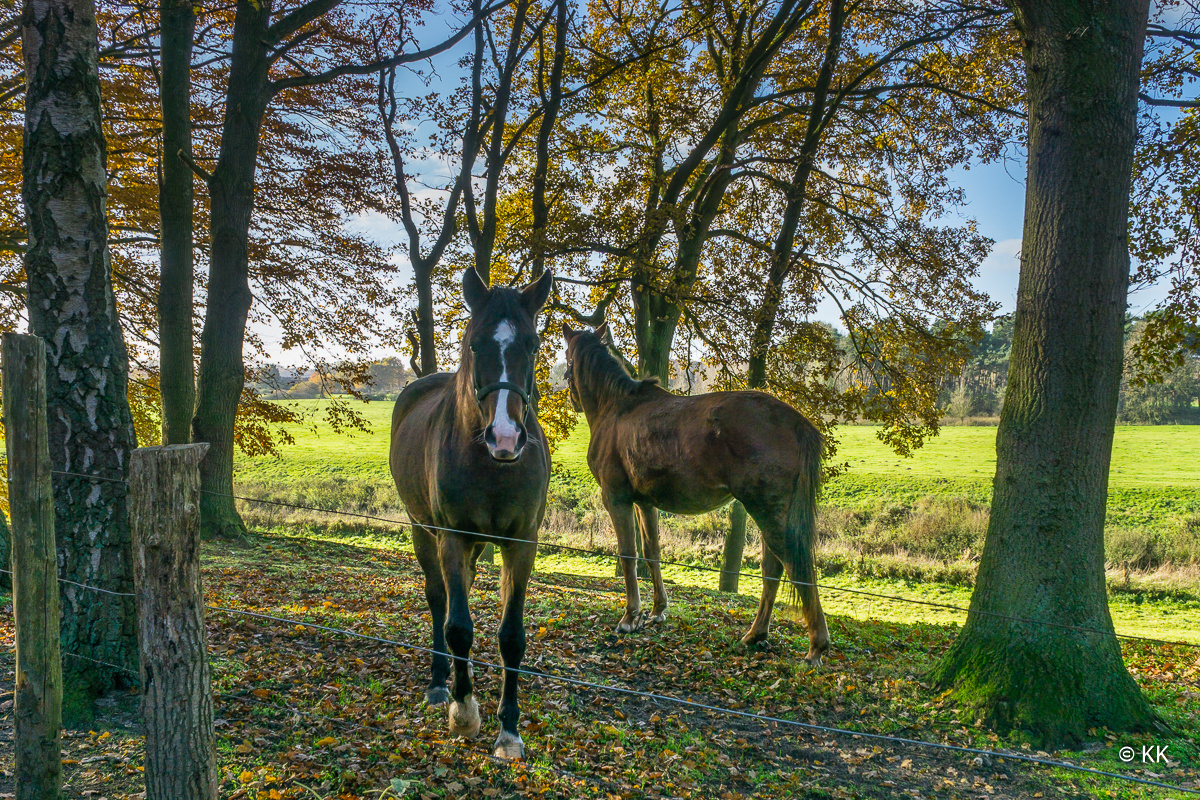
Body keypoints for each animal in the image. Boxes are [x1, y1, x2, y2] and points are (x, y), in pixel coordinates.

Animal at [391, 267, 554, 758]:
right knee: (439, 598)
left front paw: (510, 729)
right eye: (476, 344)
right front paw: (464, 711)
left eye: (533, 345)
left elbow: (511, 636)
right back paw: (440, 683)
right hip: (423, 531)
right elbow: (458, 626)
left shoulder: (521, 544)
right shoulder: (453, 537)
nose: (506, 438)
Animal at [559, 323, 825, 662]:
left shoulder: (616, 499)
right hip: (771, 513)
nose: (573, 401)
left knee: (794, 565)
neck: (617, 408)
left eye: (567, 359)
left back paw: (816, 646)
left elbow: (629, 554)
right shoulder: (645, 503)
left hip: (768, 511)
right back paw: (755, 634)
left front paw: (631, 617)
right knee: (773, 568)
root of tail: (796, 422)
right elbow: (652, 551)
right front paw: (658, 610)